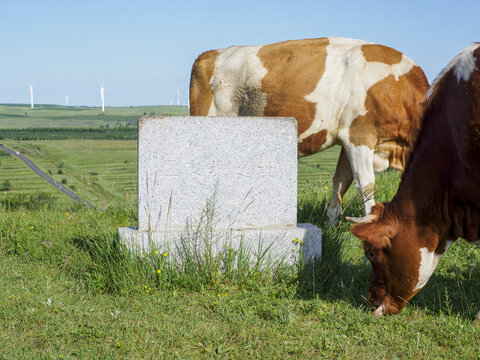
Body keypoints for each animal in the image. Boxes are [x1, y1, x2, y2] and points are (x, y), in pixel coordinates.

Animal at [189, 36, 430, 224]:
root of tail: (211, 54)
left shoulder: (347, 140)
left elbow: (341, 181)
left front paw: (332, 223)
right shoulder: (360, 135)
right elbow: (366, 184)